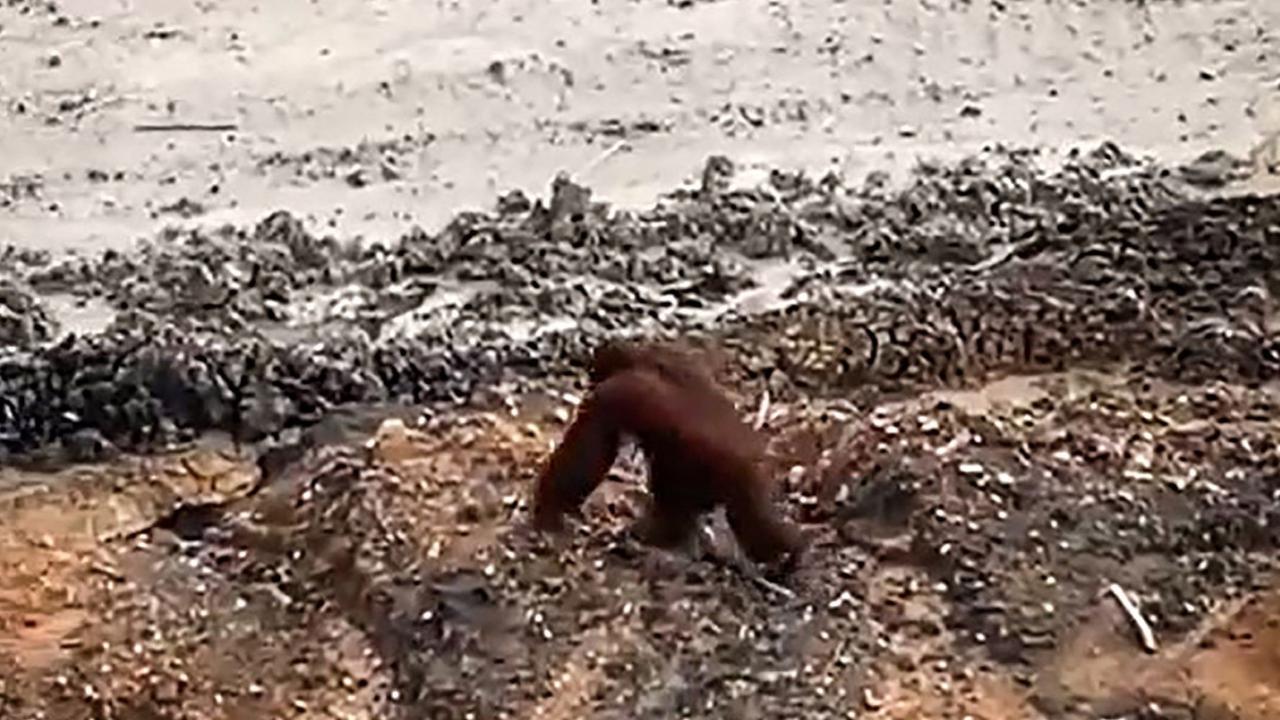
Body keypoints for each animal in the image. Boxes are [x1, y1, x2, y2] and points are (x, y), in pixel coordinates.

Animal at [532, 339, 805, 569]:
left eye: (593, 373)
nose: (588, 382)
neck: (640, 359)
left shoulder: (608, 397)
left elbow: (587, 453)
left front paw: (549, 508)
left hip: (708, 470)